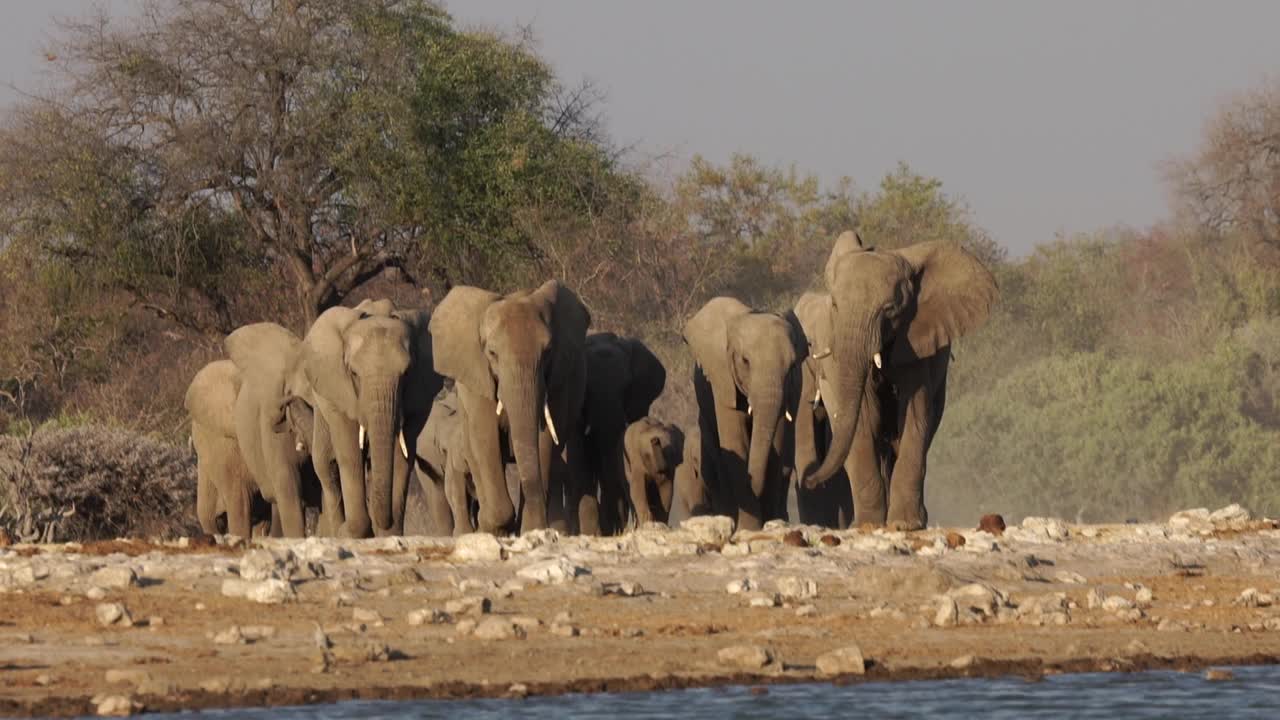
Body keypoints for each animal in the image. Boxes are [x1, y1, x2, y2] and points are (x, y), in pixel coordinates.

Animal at [293, 294, 442, 535]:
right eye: (354, 373)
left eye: (407, 373)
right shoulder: (340, 393)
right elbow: (350, 452)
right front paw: (351, 533)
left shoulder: (418, 399)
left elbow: (402, 457)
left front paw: (388, 532)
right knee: (326, 464)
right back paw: (336, 530)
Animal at [430, 279, 588, 532]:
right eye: (492, 353)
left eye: (548, 352)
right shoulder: (477, 378)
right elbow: (486, 437)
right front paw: (496, 525)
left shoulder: (556, 382)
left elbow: (543, 439)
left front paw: (531, 529)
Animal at [686, 294, 803, 530]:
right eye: (745, 361)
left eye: (793, 366)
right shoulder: (722, 380)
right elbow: (735, 443)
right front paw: (748, 528)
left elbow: (776, 446)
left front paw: (768, 523)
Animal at [798, 229, 998, 527]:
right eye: (834, 305)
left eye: (890, 309)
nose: (810, 480)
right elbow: (863, 420)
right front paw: (869, 525)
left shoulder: (916, 341)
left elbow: (914, 415)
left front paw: (905, 524)